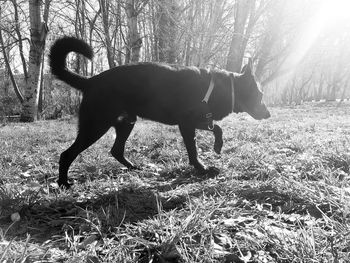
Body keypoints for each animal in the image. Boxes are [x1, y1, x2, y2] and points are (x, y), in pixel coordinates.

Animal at [49, 37, 270, 189]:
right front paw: (203, 169)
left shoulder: (198, 120)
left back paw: (133, 167)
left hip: (126, 123)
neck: (217, 87)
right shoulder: (186, 124)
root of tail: (90, 81)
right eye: (260, 95)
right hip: (95, 126)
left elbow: (217, 128)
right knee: (67, 154)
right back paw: (63, 183)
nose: (268, 114)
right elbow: (194, 151)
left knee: (116, 150)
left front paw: (217, 146)